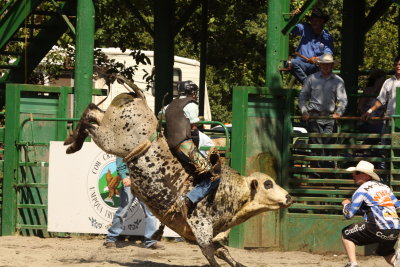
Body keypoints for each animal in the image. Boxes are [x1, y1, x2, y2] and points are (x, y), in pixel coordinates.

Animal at [65, 84, 290, 267]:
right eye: (268, 184)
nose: (289, 197)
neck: (230, 192)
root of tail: (140, 99)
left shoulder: (208, 235)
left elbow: (225, 253)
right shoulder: (202, 230)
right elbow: (212, 257)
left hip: (109, 126)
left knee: (94, 112)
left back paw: (71, 140)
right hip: (111, 139)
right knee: (91, 121)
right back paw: (73, 144)